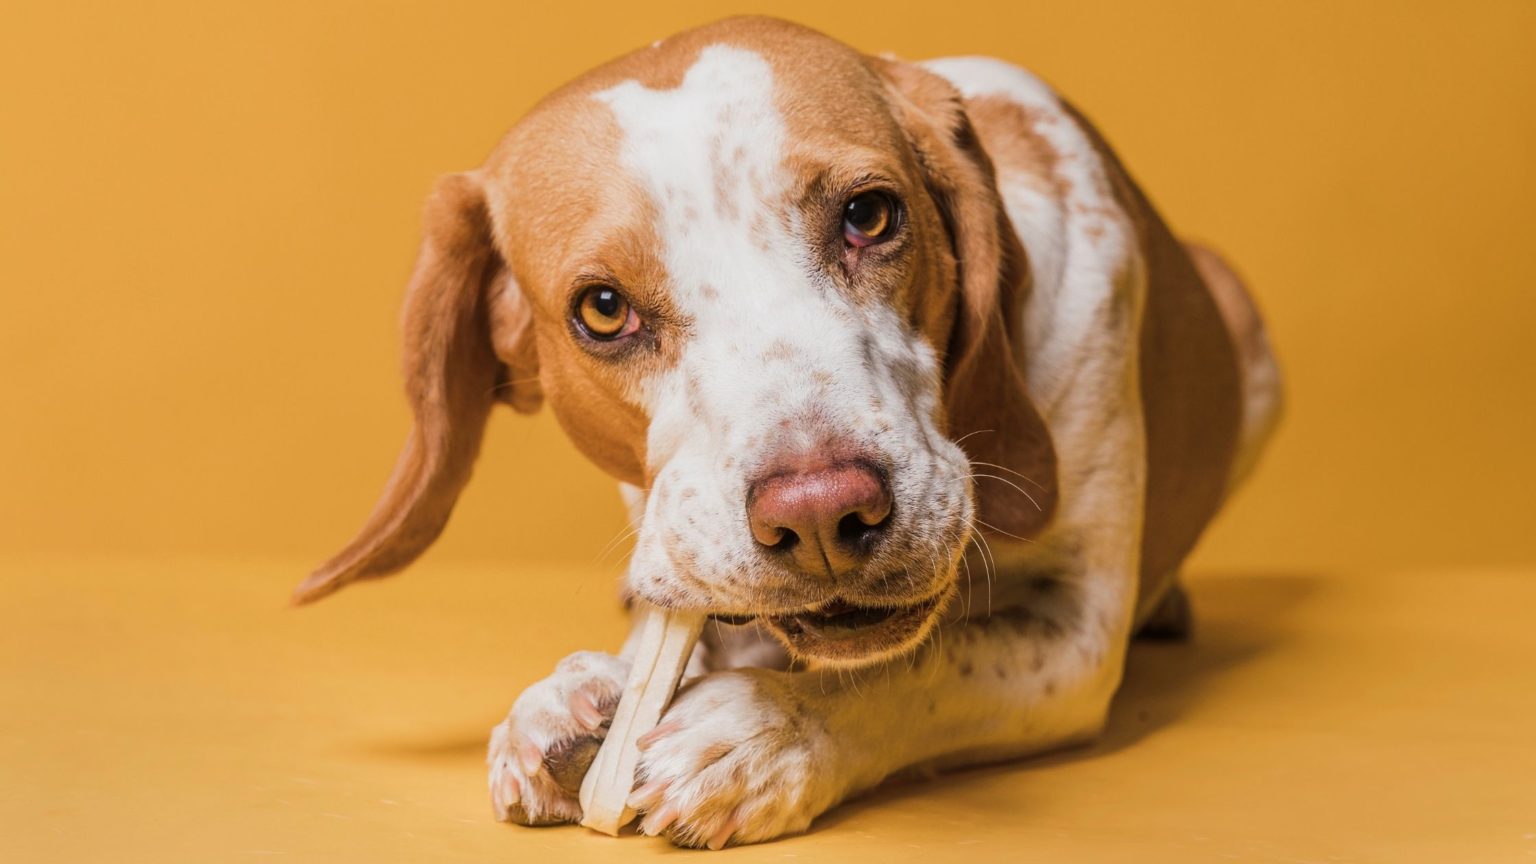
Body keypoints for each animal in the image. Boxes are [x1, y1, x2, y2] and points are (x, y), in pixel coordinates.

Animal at [293, 15, 1277, 848]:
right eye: (602, 309)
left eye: (870, 216)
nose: (821, 514)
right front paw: (573, 694)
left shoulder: (1077, 634)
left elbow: (925, 667)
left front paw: (769, 730)